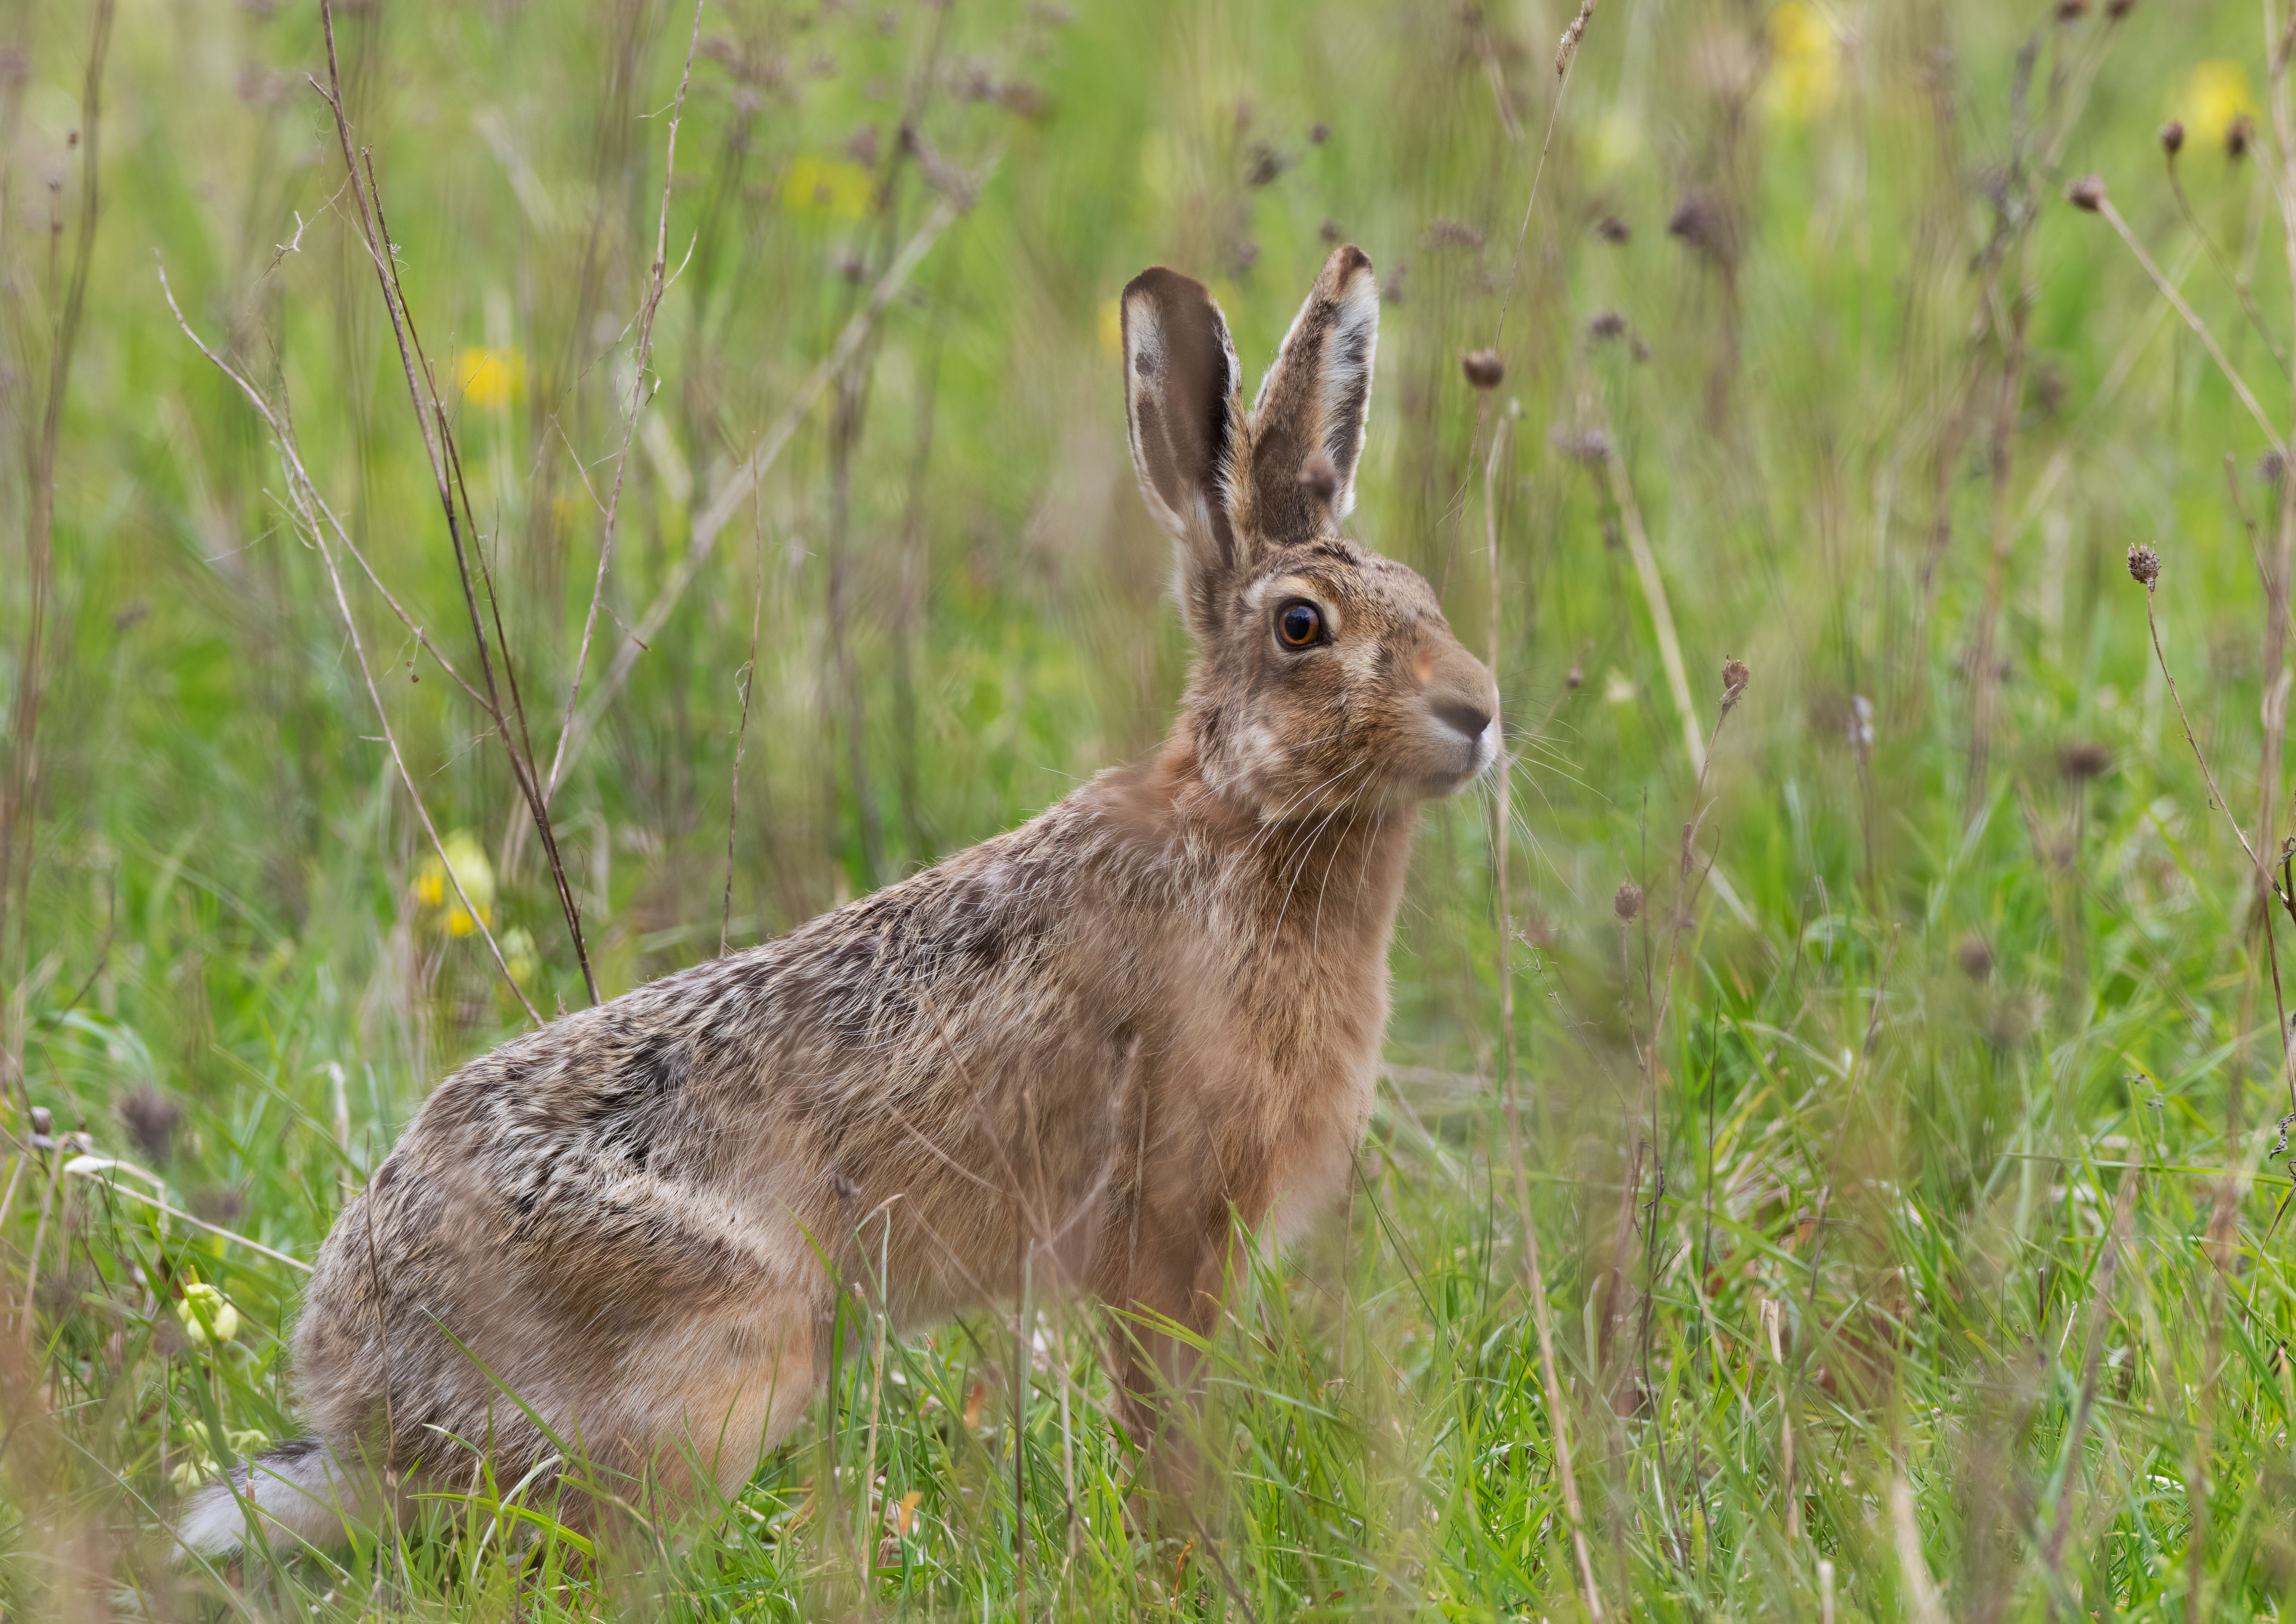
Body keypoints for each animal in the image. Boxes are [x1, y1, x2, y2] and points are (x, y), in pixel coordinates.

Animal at [177, 242, 1499, 1561]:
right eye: (1300, 627)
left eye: (1424, 593)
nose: (1478, 712)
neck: (1243, 821)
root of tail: (358, 1396)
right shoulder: (1162, 1231)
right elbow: (1161, 1415)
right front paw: (1185, 1555)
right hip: (730, 1350)